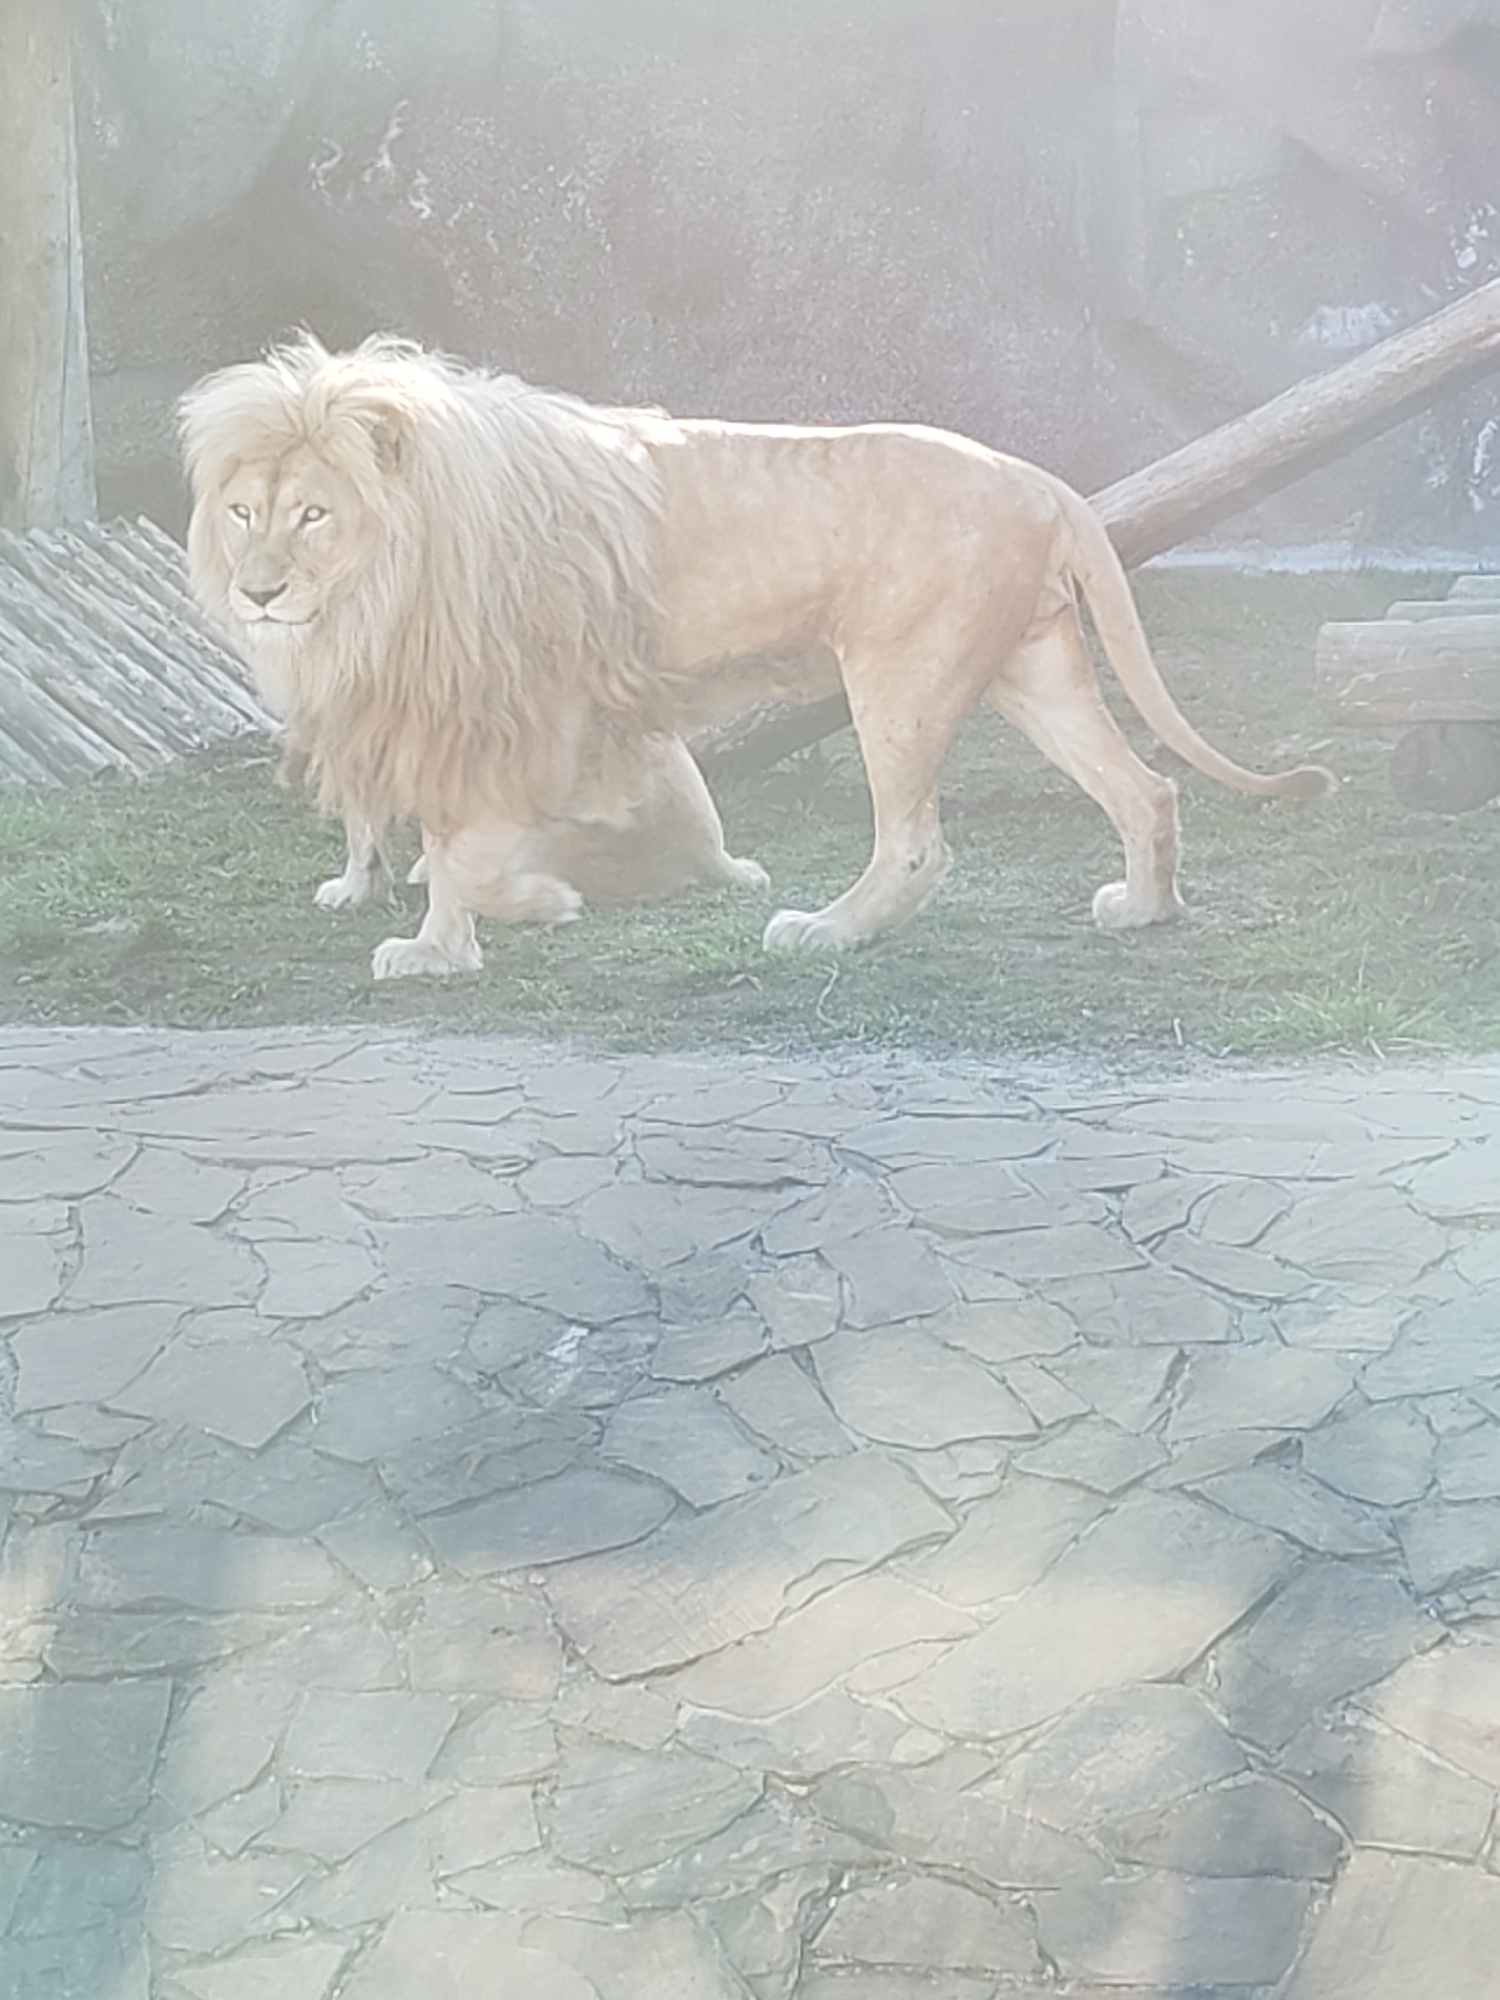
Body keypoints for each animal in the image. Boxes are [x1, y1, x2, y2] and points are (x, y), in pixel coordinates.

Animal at [180, 334, 1333, 980]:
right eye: (243, 512)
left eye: (314, 514)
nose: (259, 592)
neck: (378, 589)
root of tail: (1042, 479)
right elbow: (435, 839)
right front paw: (427, 925)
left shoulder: (507, 706)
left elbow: (466, 851)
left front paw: (479, 929)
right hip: (1033, 670)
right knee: (1145, 790)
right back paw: (1144, 911)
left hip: (900, 675)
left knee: (917, 844)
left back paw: (826, 931)